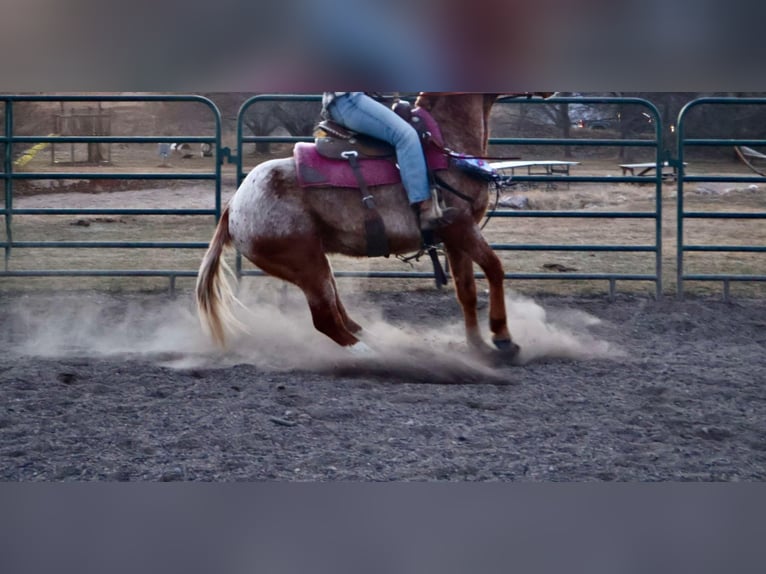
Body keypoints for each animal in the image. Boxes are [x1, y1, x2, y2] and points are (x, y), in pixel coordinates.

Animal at [196, 92, 552, 358]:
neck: (446, 143)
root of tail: (233, 206)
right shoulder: (462, 227)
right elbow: (494, 268)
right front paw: (503, 338)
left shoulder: (454, 237)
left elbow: (466, 289)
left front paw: (478, 345)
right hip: (304, 263)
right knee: (325, 320)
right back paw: (373, 354)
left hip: (314, 264)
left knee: (336, 311)